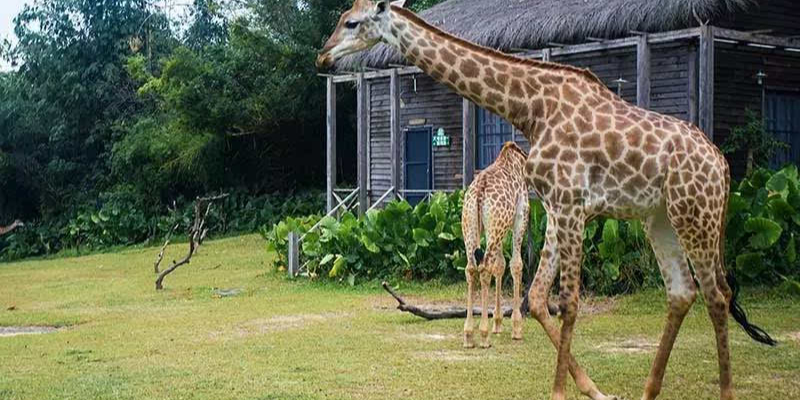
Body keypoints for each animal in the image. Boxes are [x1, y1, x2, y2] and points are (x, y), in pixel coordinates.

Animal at [462, 141, 532, 350]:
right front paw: (516, 327)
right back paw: (483, 335)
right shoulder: (520, 217)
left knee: (471, 269)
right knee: (484, 269)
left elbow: (500, 265)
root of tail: (479, 191)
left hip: (473, 227)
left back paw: (469, 335)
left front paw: (498, 323)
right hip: (496, 227)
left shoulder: (500, 229)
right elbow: (516, 265)